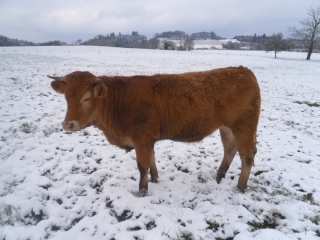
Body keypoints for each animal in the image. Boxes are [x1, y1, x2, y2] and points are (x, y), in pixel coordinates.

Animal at [48, 66, 262, 195]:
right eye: (66, 98)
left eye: (86, 98)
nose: (67, 125)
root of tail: (243, 70)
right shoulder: (147, 140)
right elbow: (151, 160)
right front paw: (155, 178)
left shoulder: (141, 139)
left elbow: (142, 165)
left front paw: (142, 190)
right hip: (226, 128)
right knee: (230, 150)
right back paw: (219, 176)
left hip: (244, 127)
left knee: (247, 155)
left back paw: (241, 186)